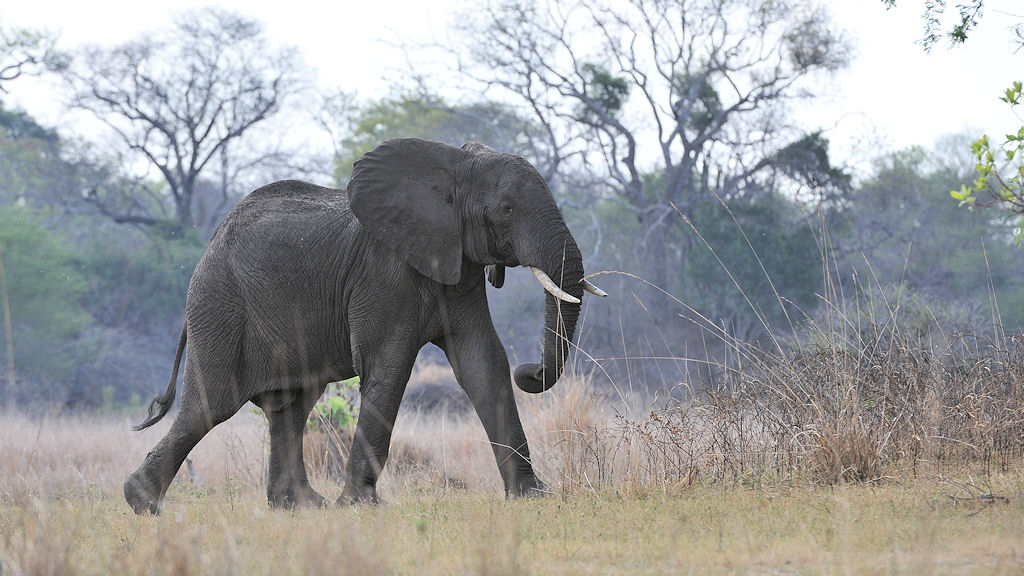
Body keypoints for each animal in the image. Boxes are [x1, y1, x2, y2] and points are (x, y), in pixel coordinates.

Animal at [123, 137, 606, 514]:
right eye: (505, 209)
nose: (533, 372)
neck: (448, 165)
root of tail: (208, 249)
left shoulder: (458, 268)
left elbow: (483, 363)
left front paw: (531, 497)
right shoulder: (383, 274)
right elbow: (388, 367)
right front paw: (360, 506)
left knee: (291, 405)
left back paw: (302, 506)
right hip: (219, 303)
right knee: (211, 405)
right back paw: (141, 503)